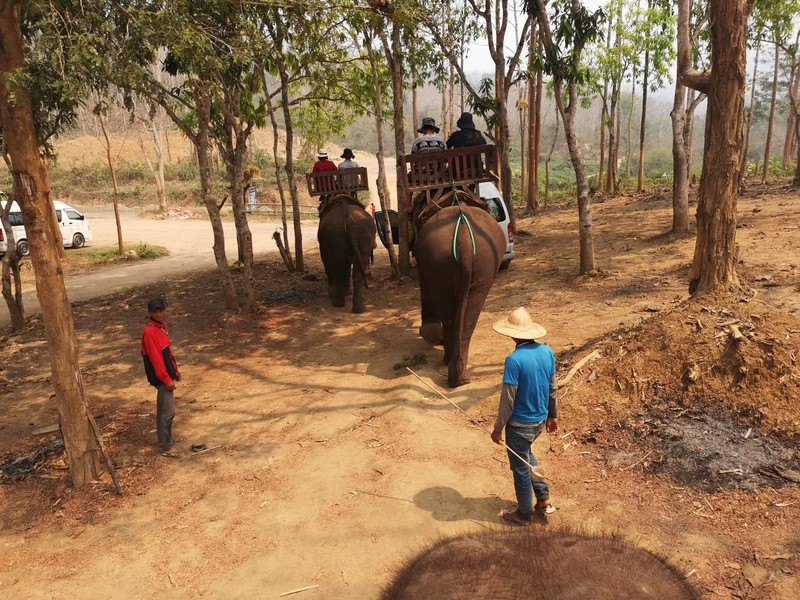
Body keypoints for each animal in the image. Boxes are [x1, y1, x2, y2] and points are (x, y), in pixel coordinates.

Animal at [413, 193, 505, 387]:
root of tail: (463, 237)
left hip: (445, 261)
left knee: (449, 311)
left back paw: (451, 365)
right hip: (481, 263)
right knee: (469, 312)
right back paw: (459, 376)